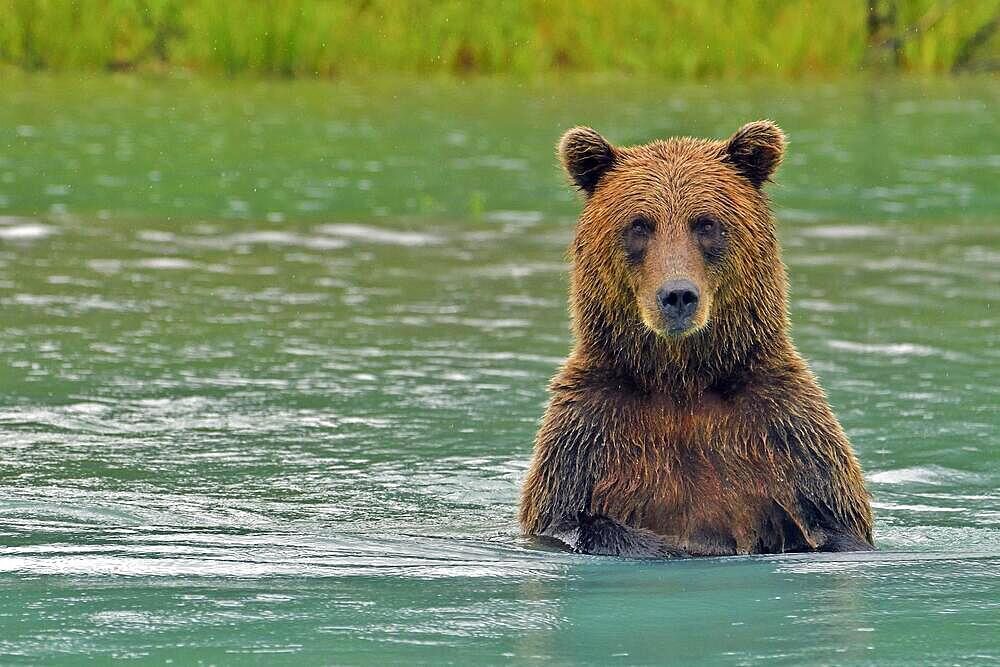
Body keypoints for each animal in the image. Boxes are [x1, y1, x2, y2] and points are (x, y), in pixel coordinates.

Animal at [520, 121, 872, 560]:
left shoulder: (786, 436)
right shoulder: (588, 438)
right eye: (640, 224)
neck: (682, 379)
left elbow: (834, 525)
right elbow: (571, 522)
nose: (677, 295)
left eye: (705, 223)